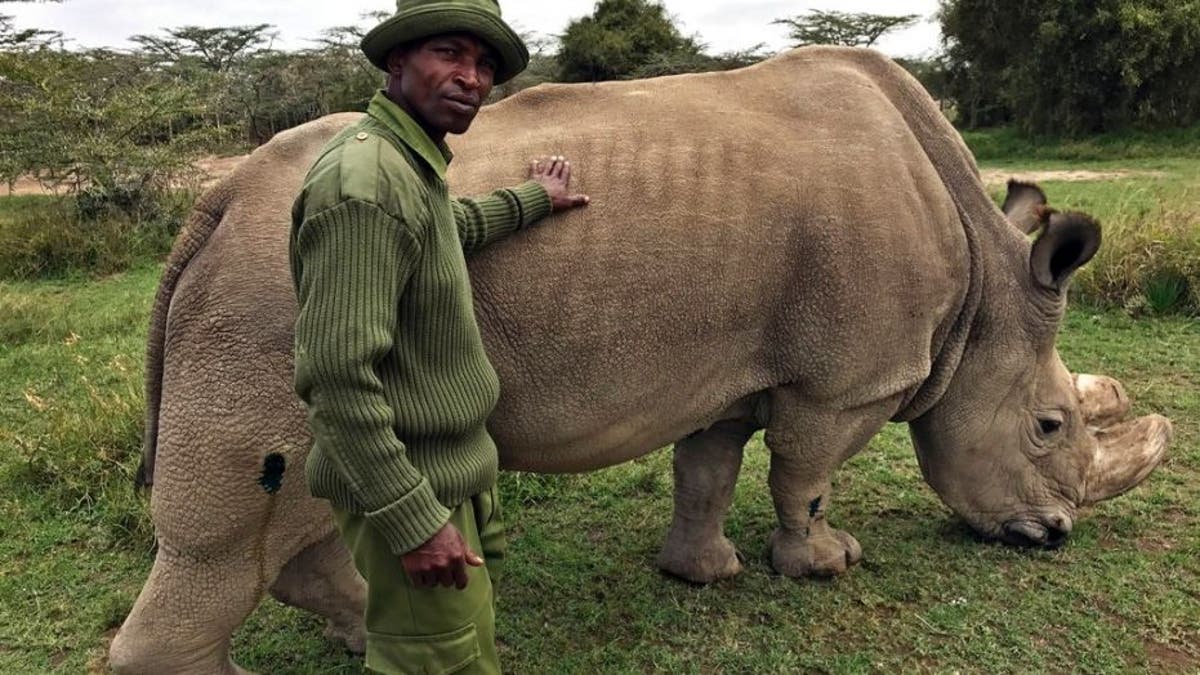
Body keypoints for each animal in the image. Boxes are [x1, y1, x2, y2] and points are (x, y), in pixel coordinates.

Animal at [110, 47, 1171, 672]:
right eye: (1050, 425)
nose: (1053, 536)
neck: (985, 293)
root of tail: (215, 203)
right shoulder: (845, 379)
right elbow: (807, 474)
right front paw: (826, 563)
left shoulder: (733, 364)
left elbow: (708, 467)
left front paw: (704, 573)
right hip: (268, 300)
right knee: (235, 528)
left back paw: (373, 619)